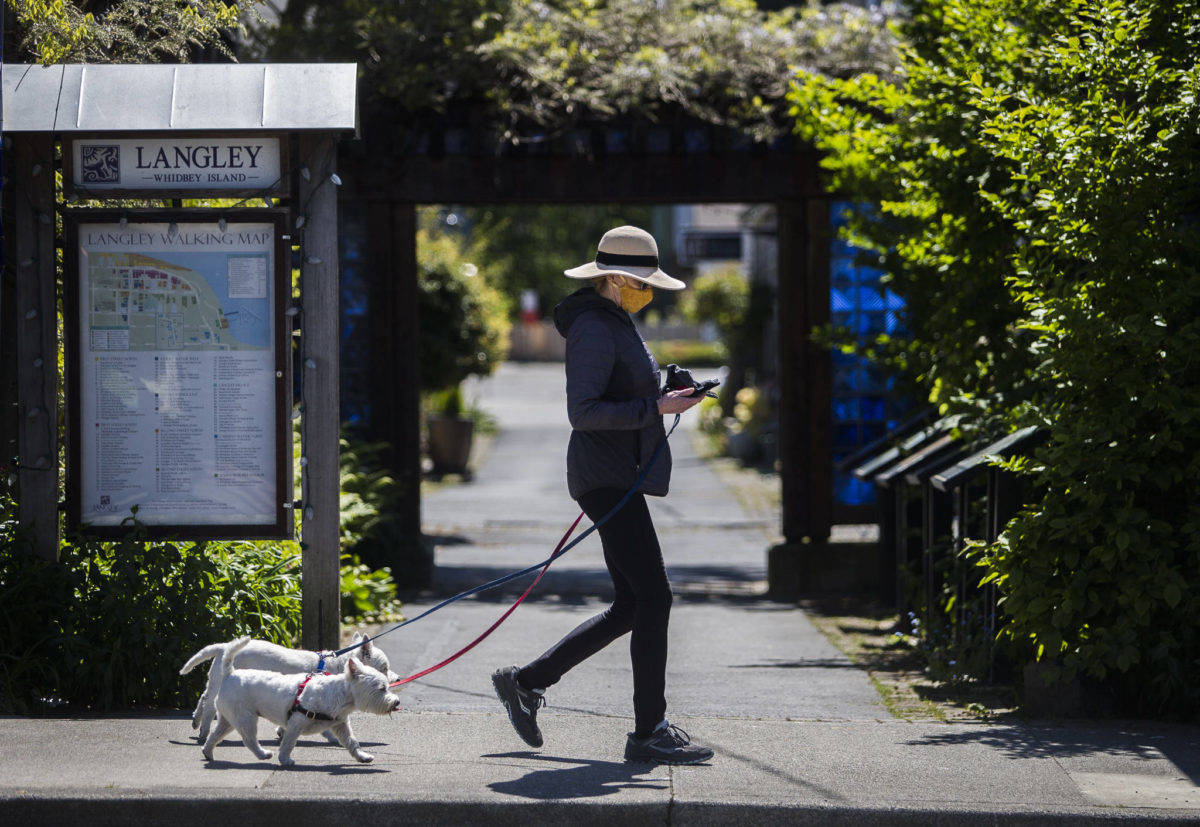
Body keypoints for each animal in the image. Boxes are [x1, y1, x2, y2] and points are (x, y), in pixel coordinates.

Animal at [199, 633, 400, 763]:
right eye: (384, 668)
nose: (397, 679)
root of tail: (224, 648)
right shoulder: (301, 717)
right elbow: (293, 737)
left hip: (223, 702)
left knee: (207, 709)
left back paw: (203, 739)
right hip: (243, 713)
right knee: (215, 713)